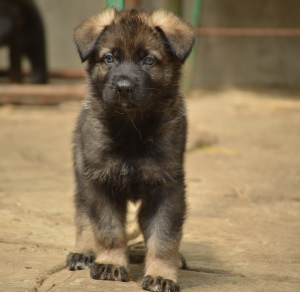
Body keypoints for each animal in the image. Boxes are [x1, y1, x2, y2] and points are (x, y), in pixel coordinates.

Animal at [66, 7, 195, 292]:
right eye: (109, 58)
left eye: (148, 60)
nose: (123, 87)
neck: (131, 127)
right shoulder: (100, 182)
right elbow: (108, 230)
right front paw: (111, 263)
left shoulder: (167, 187)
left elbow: (164, 237)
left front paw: (162, 274)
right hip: (82, 175)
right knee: (83, 215)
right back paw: (84, 251)